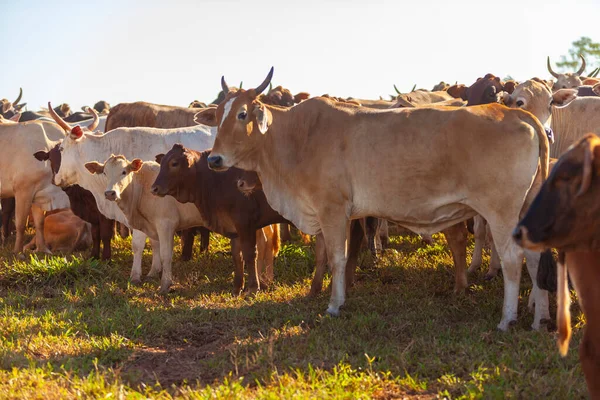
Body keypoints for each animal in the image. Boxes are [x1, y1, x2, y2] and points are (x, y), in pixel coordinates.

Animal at [199, 69, 552, 332]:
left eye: (242, 113)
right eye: (217, 115)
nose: (214, 160)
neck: (296, 136)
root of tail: (517, 113)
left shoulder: (333, 210)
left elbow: (338, 258)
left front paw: (334, 305)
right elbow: (330, 256)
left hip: (501, 213)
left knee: (513, 261)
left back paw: (507, 319)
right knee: (535, 260)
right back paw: (539, 318)